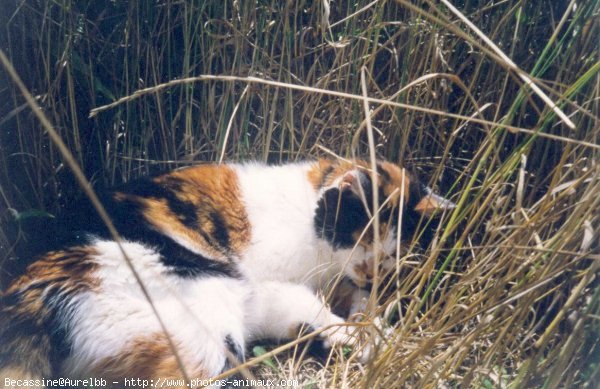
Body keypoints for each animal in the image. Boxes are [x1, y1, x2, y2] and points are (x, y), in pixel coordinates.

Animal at [0, 157, 450, 384]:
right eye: (363, 242)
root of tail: (31, 293)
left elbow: (347, 305)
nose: (372, 274)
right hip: (201, 317)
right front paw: (372, 337)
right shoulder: (271, 284)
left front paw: (370, 319)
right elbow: (319, 310)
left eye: (392, 255)